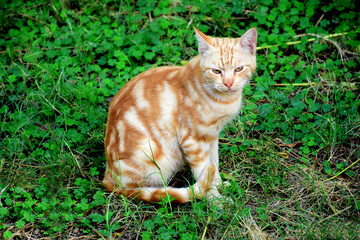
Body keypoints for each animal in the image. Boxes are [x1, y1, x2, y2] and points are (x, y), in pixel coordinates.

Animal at [102, 26, 258, 203]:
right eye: (216, 71)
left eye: (239, 69)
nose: (228, 83)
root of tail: (107, 176)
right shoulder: (193, 141)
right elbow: (204, 171)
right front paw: (216, 200)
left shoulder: (212, 136)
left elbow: (214, 163)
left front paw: (219, 184)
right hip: (152, 159)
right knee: (136, 189)